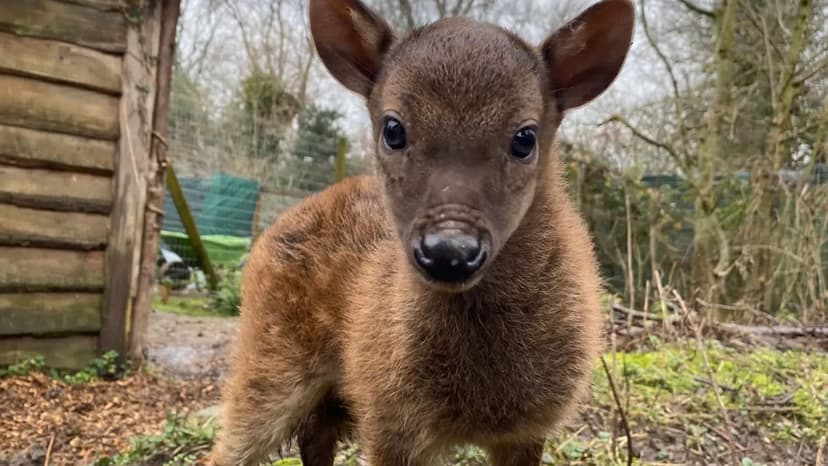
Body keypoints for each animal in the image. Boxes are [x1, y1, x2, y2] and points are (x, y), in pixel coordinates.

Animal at [209, 0, 634, 464]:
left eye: (525, 137)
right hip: (270, 357)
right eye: (393, 128)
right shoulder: (388, 417)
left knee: (314, 436)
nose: (450, 250)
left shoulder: (529, 428)